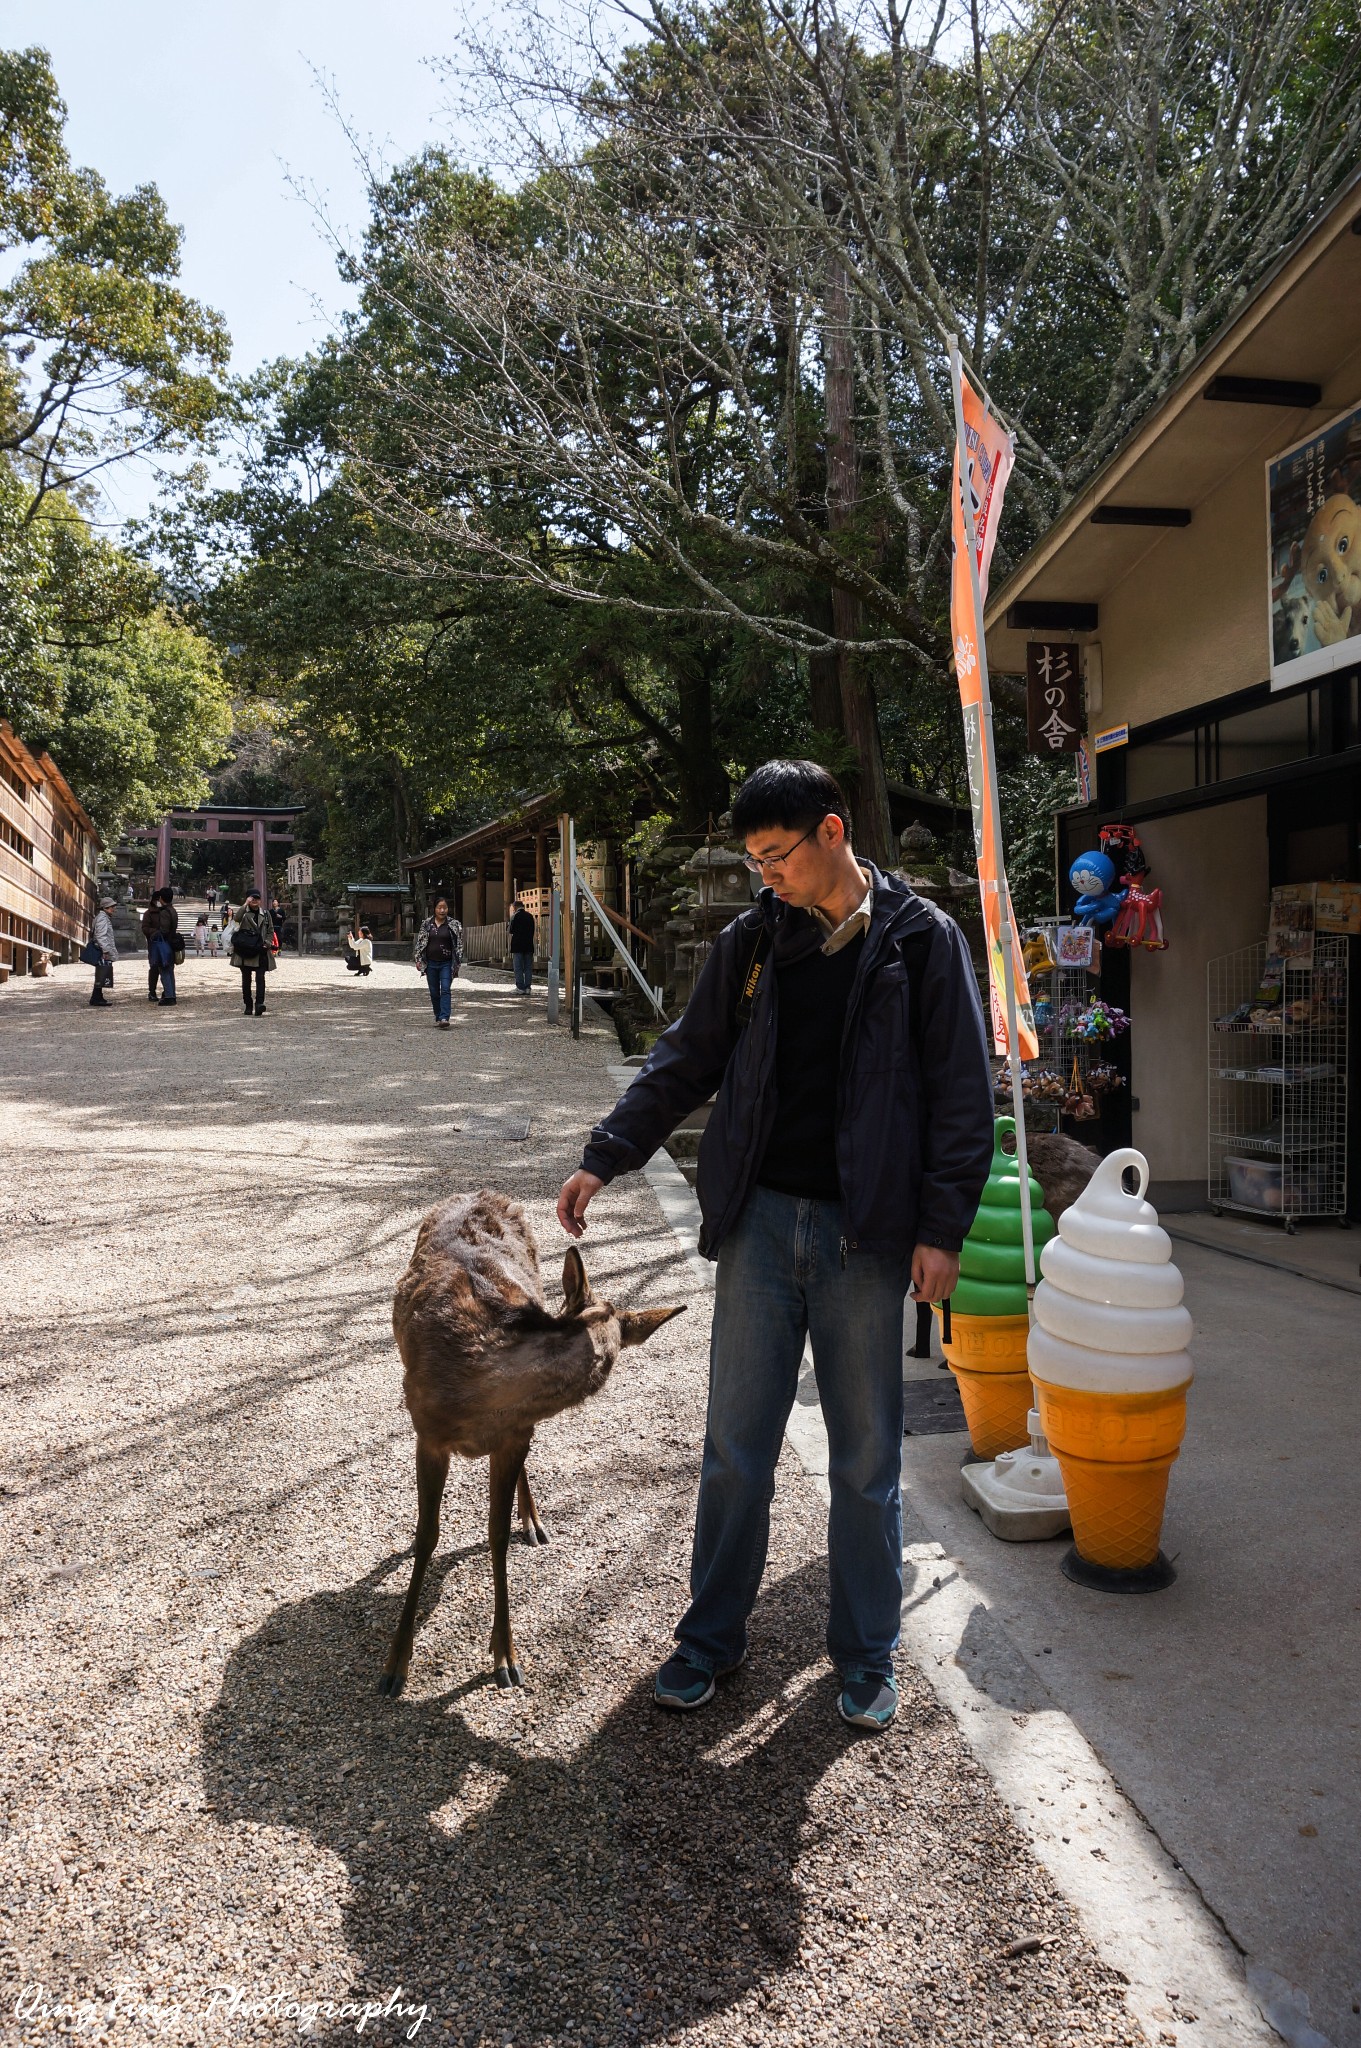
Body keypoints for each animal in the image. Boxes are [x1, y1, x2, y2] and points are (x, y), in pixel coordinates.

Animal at [378, 1187, 679, 1695]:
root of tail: (480, 1191)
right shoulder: (427, 1433)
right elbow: (427, 1535)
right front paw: (394, 1664)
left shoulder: (516, 1436)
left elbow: (496, 1534)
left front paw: (505, 1656)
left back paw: (533, 1522)